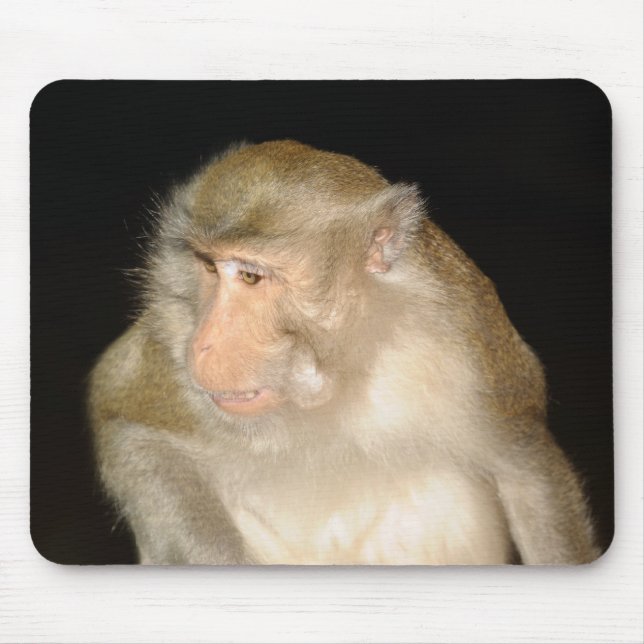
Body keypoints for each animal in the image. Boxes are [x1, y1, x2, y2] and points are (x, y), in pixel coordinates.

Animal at [88, 140, 599, 565]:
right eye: (209, 268)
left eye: (250, 276)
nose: (204, 343)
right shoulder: (170, 340)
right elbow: (127, 422)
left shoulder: (465, 333)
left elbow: (525, 470)